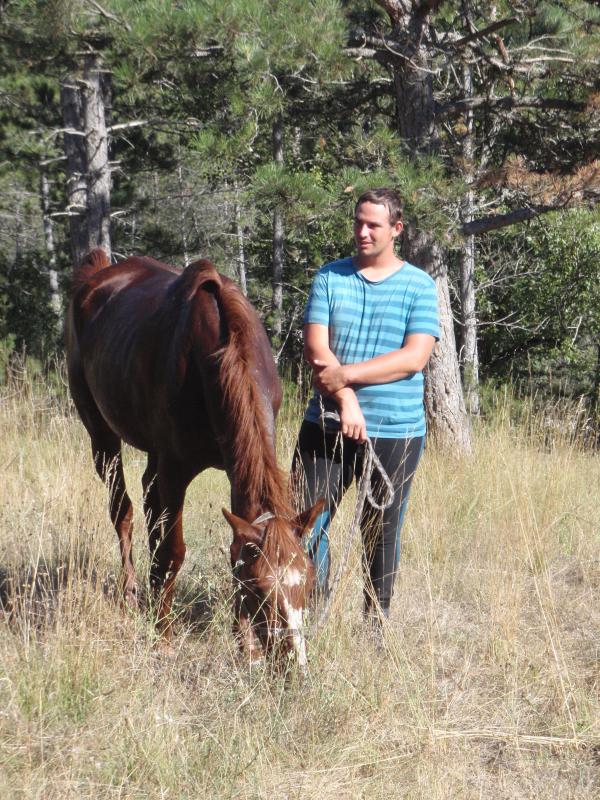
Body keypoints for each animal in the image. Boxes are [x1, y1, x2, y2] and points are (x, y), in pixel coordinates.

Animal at [65, 252, 324, 668]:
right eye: (259, 587)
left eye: (310, 580)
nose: (293, 660)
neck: (220, 356)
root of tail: (96, 272)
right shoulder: (175, 468)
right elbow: (172, 552)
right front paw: (164, 637)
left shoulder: (235, 469)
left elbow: (231, 543)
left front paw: (246, 646)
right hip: (101, 437)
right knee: (123, 511)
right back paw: (133, 593)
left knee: (149, 505)